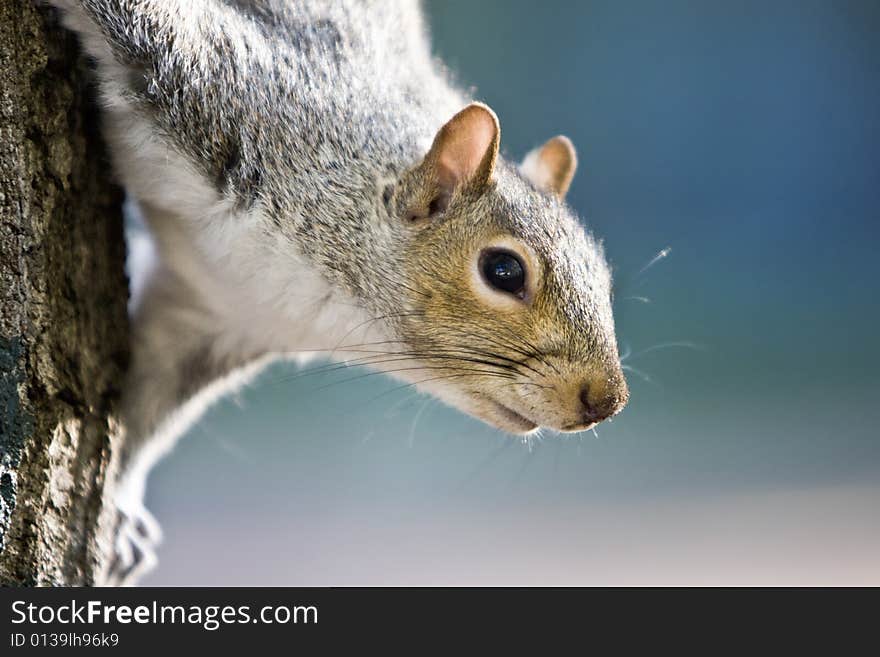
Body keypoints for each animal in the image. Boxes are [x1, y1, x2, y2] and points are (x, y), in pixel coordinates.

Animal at [48, 1, 628, 584]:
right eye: (504, 271)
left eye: (602, 274)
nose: (605, 403)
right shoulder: (212, 87)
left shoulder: (215, 317)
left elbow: (146, 409)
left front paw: (122, 505)